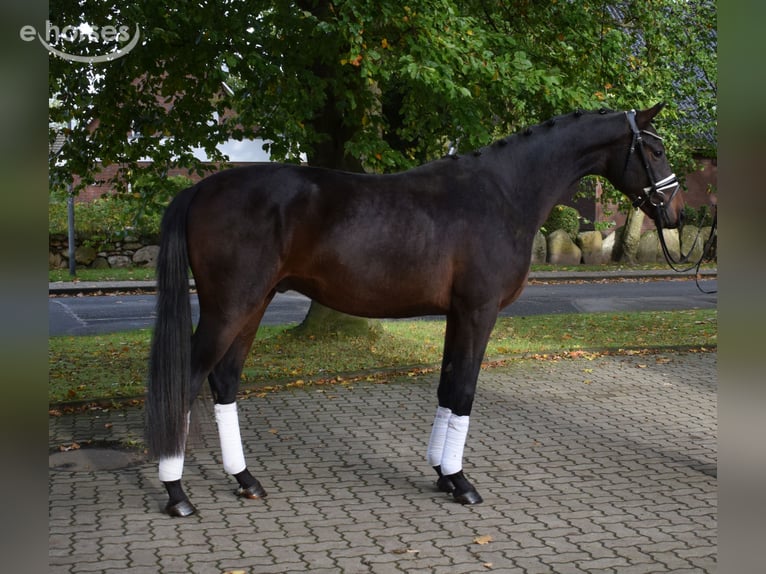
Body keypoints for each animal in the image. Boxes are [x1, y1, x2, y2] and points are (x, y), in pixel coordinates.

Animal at [145, 103, 684, 517]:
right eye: (655, 150)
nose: (676, 215)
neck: (502, 193)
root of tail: (201, 188)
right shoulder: (478, 311)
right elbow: (464, 391)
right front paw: (462, 483)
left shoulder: (457, 314)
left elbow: (447, 388)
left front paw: (443, 474)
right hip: (230, 306)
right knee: (187, 381)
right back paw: (177, 494)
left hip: (254, 304)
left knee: (224, 380)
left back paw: (245, 480)